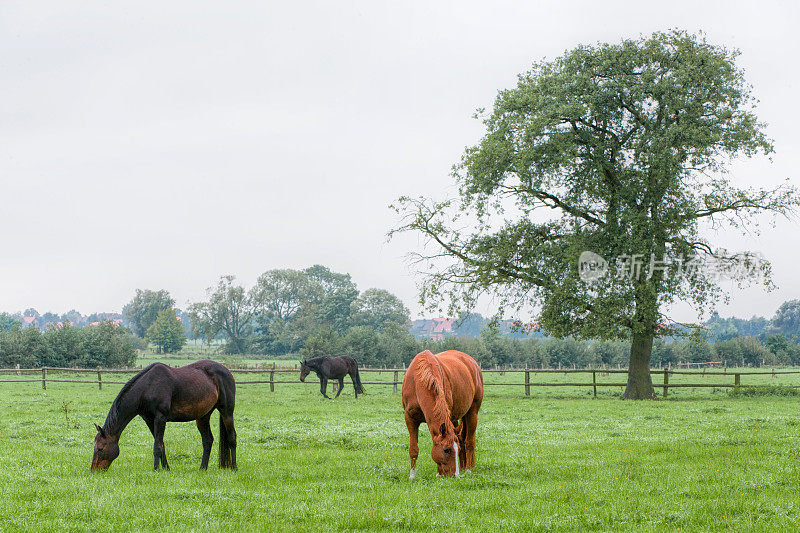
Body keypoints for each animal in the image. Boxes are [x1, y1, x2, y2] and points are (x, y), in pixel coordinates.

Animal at [90, 358, 236, 470]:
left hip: (227, 412)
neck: (147, 388)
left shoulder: (160, 418)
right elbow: (161, 444)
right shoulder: (149, 420)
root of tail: (227, 371)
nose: (94, 470)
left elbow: (157, 446)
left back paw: (234, 467)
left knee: (232, 437)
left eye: (100, 448)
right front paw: (166, 469)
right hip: (203, 416)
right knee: (207, 440)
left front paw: (156, 469)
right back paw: (202, 469)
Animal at [404, 350, 484, 478]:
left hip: (472, 412)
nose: (455, 475)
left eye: (457, 449)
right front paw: (412, 475)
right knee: (461, 437)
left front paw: (439, 473)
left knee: (469, 441)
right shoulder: (410, 419)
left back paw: (468, 469)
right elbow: (413, 448)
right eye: (446, 450)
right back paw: (463, 467)